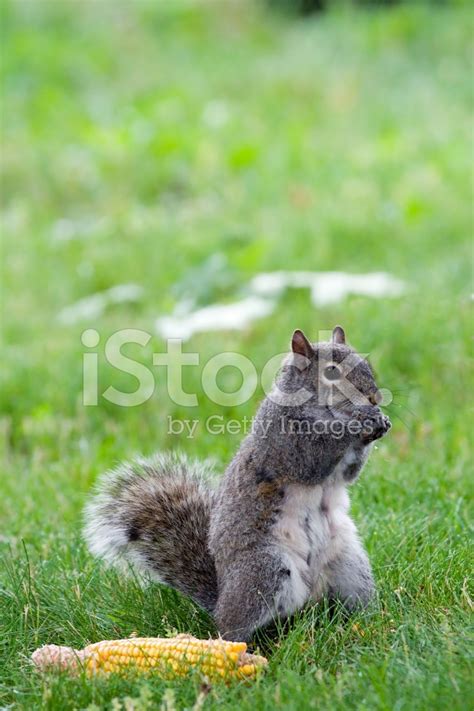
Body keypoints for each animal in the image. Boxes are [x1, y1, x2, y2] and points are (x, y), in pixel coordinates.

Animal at [83, 326, 390, 644]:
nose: (374, 398)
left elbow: (349, 473)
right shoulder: (284, 441)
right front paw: (357, 424)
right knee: (234, 626)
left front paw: (379, 422)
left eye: (365, 363)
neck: (318, 410)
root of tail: (220, 600)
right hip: (264, 569)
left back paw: (365, 622)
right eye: (331, 372)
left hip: (349, 564)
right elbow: (312, 458)